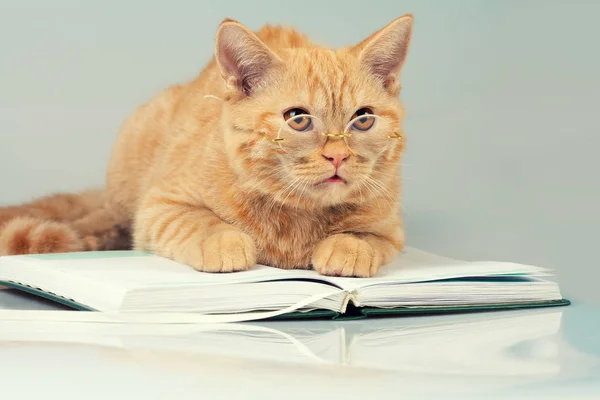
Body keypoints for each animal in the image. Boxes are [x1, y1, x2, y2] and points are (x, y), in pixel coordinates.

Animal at [104, 15, 412, 278]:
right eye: (298, 118)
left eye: (363, 119)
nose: (337, 155)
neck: (297, 216)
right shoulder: (160, 204)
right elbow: (198, 220)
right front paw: (223, 241)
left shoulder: (392, 231)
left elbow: (367, 237)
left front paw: (350, 246)